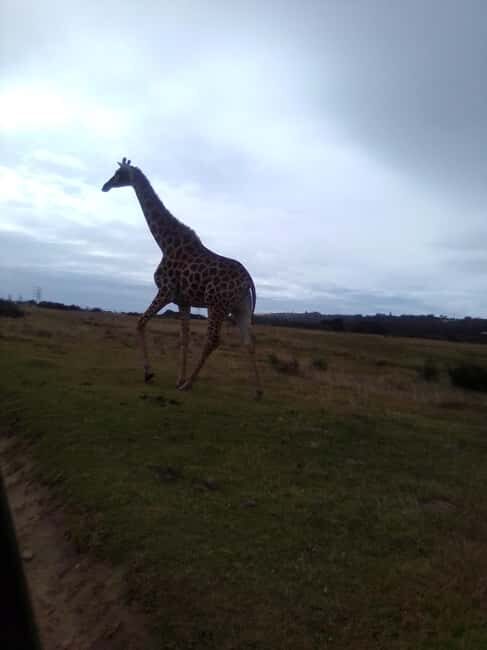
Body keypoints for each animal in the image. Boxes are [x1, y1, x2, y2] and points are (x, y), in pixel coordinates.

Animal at [101, 158, 263, 399]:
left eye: (119, 173)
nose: (105, 185)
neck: (166, 243)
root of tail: (248, 281)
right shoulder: (183, 301)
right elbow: (183, 339)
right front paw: (178, 378)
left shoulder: (165, 291)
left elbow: (140, 323)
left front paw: (150, 373)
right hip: (240, 308)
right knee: (249, 342)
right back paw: (258, 391)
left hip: (216, 305)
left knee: (213, 340)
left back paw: (189, 385)